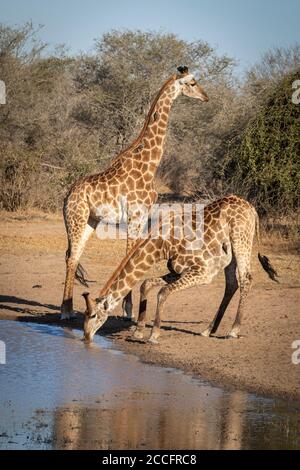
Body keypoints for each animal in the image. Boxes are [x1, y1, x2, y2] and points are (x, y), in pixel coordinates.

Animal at [61, 65, 209, 320]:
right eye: (192, 83)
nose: (206, 97)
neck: (149, 164)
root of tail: (67, 196)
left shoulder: (141, 218)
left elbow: (129, 256)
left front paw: (126, 307)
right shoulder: (135, 216)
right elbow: (129, 255)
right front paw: (128, 310)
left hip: (90, 221)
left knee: (75, 255)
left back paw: (68, 308)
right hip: (76, 219)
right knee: (71, 257)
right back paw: (65, 312)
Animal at [82, 194, 278, 342]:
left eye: (93, 315)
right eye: (85, 313)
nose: (86, 336)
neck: (162, 245)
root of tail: (252, 209)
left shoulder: (202, 272)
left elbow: (163, 292)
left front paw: (153, 335)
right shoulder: (178, 270)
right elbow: (146, 284)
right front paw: (138, 332)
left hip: (241, 240)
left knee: (246, 279)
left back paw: (233, 331)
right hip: (229, 255)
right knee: (231, 284)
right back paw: (208, 330)